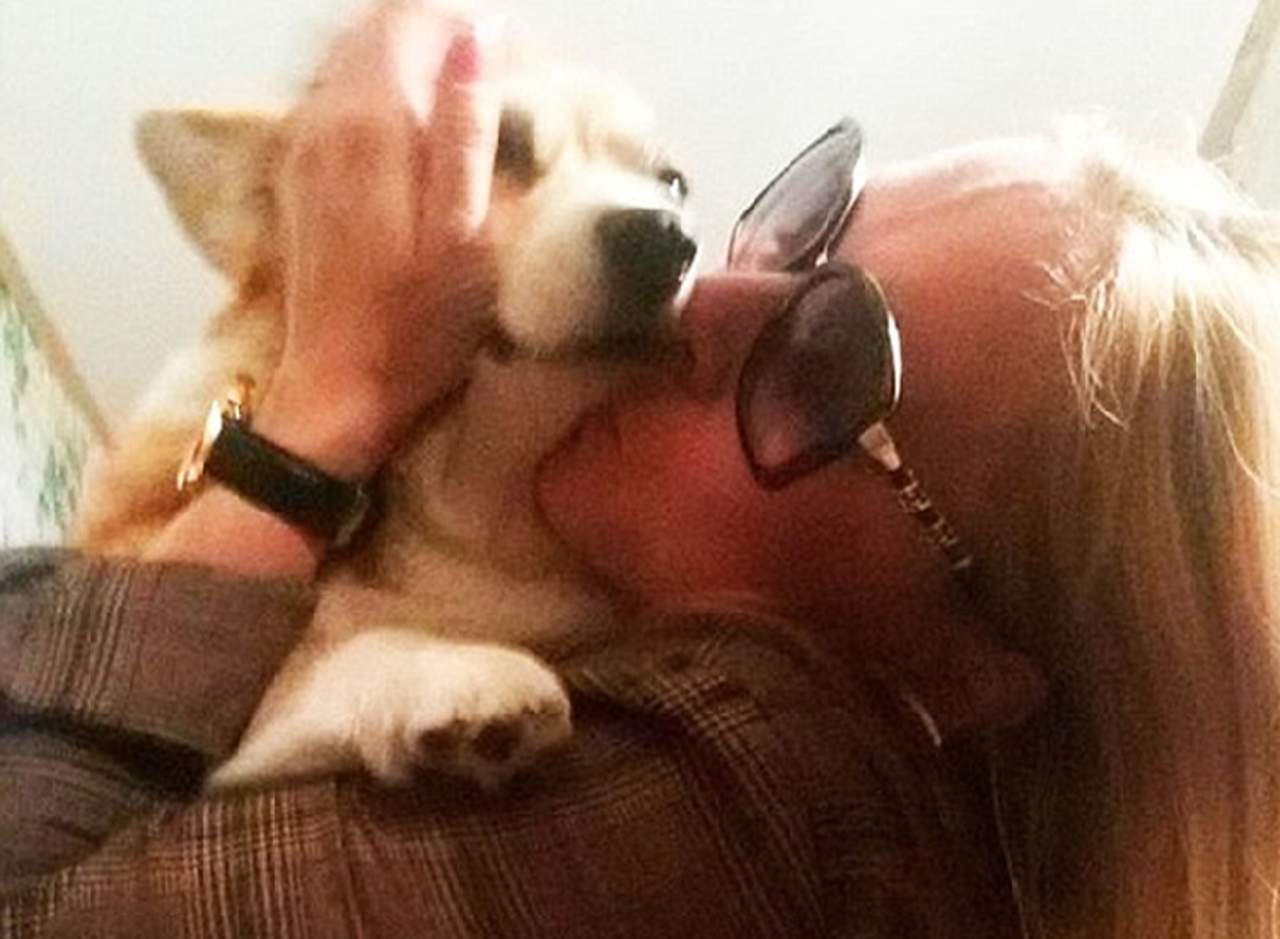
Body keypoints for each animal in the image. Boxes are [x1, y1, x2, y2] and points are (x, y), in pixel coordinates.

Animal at [74, 41, 697, 790]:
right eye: (499, 148)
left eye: (673, 183)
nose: (669, 240)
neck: (474, 491)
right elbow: (342, 648)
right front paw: (456, 677)